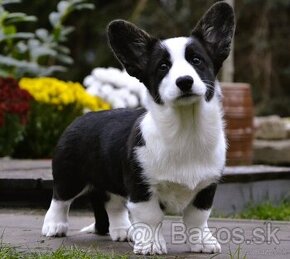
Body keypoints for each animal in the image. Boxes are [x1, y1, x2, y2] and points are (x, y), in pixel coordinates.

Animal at [41, 2, 236, 256]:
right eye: (163, 66)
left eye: (197, 61)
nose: (184, 81)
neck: (186, 129)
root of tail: (82, 118)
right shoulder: (141, 187)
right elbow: (151, 217)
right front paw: (151, 245)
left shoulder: (206, 187)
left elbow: (197, 218)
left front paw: (202, 242)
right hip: (69, 175)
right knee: (60, 199)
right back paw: (54, 226)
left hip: (110, 181)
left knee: (113, 204)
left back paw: (124, 231)